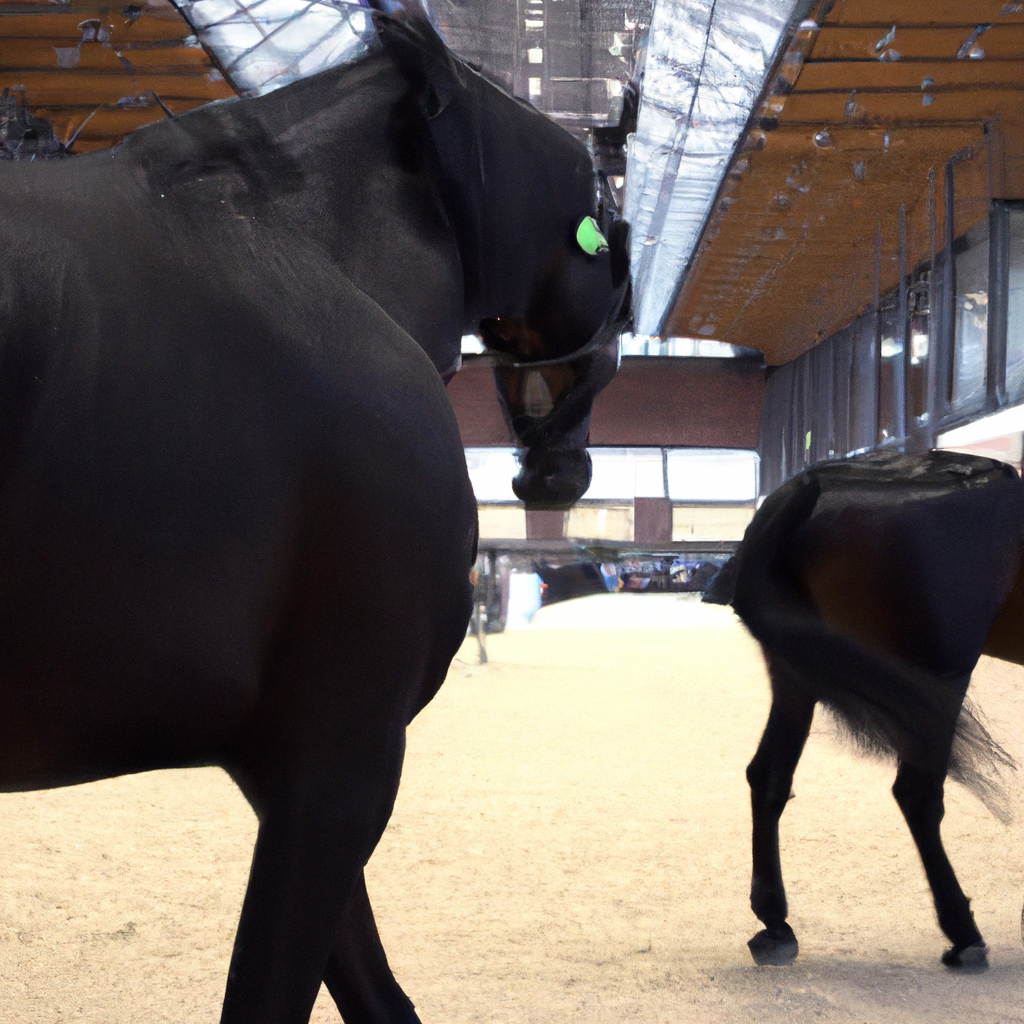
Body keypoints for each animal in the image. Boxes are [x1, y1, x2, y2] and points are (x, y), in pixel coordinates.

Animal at [704, 450, 1024, 966]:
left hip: (798, 674)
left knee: (769, 775)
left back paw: (775, 924)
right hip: (938, 675)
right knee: (917, 793)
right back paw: (963, 934)